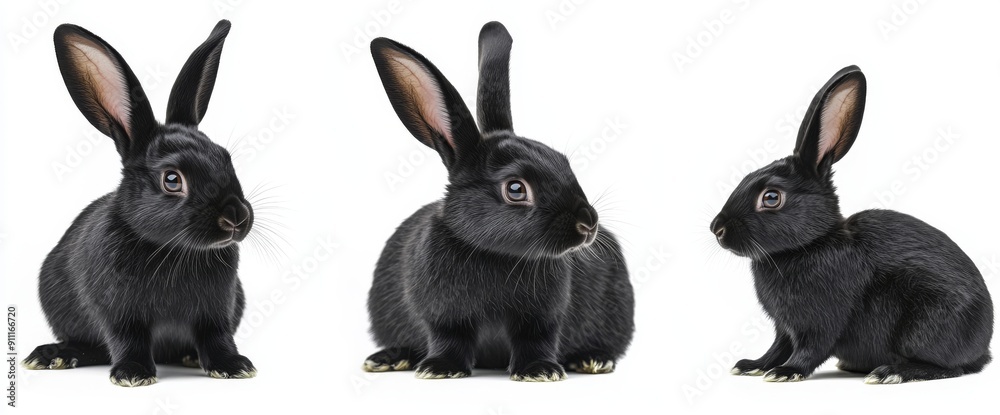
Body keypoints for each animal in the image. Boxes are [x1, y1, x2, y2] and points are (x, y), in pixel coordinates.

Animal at [21, 20, 257, 387]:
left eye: (226, 159)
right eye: (172, 180)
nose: (236, 217)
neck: (175, 251)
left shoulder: (217, 310)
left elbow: (216, 337)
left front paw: (234, 366)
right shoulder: (118, 312)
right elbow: (126, 339)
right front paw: (133, 374)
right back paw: (53, 355)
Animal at [362, 21, 634, 382]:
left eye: (564, 162)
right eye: (516, 189)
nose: (588, 224)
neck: (497, 255)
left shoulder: (542, 319)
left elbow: (536, 340)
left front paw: (539, 371)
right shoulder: (444, 316)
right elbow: (448, 338)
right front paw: (440, 369)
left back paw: (593, 360)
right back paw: (387, 359)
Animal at [711, 65, 993, 384]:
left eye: (771, 197)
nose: (717, 229)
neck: (812, 244)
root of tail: (984, 346)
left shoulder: (820, 322)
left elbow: (810, 349)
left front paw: (786, 371)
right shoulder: (784, 327)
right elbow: (777, 347)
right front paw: (752, 365)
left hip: (927, 325)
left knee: (947, 367)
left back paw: (889, 372)